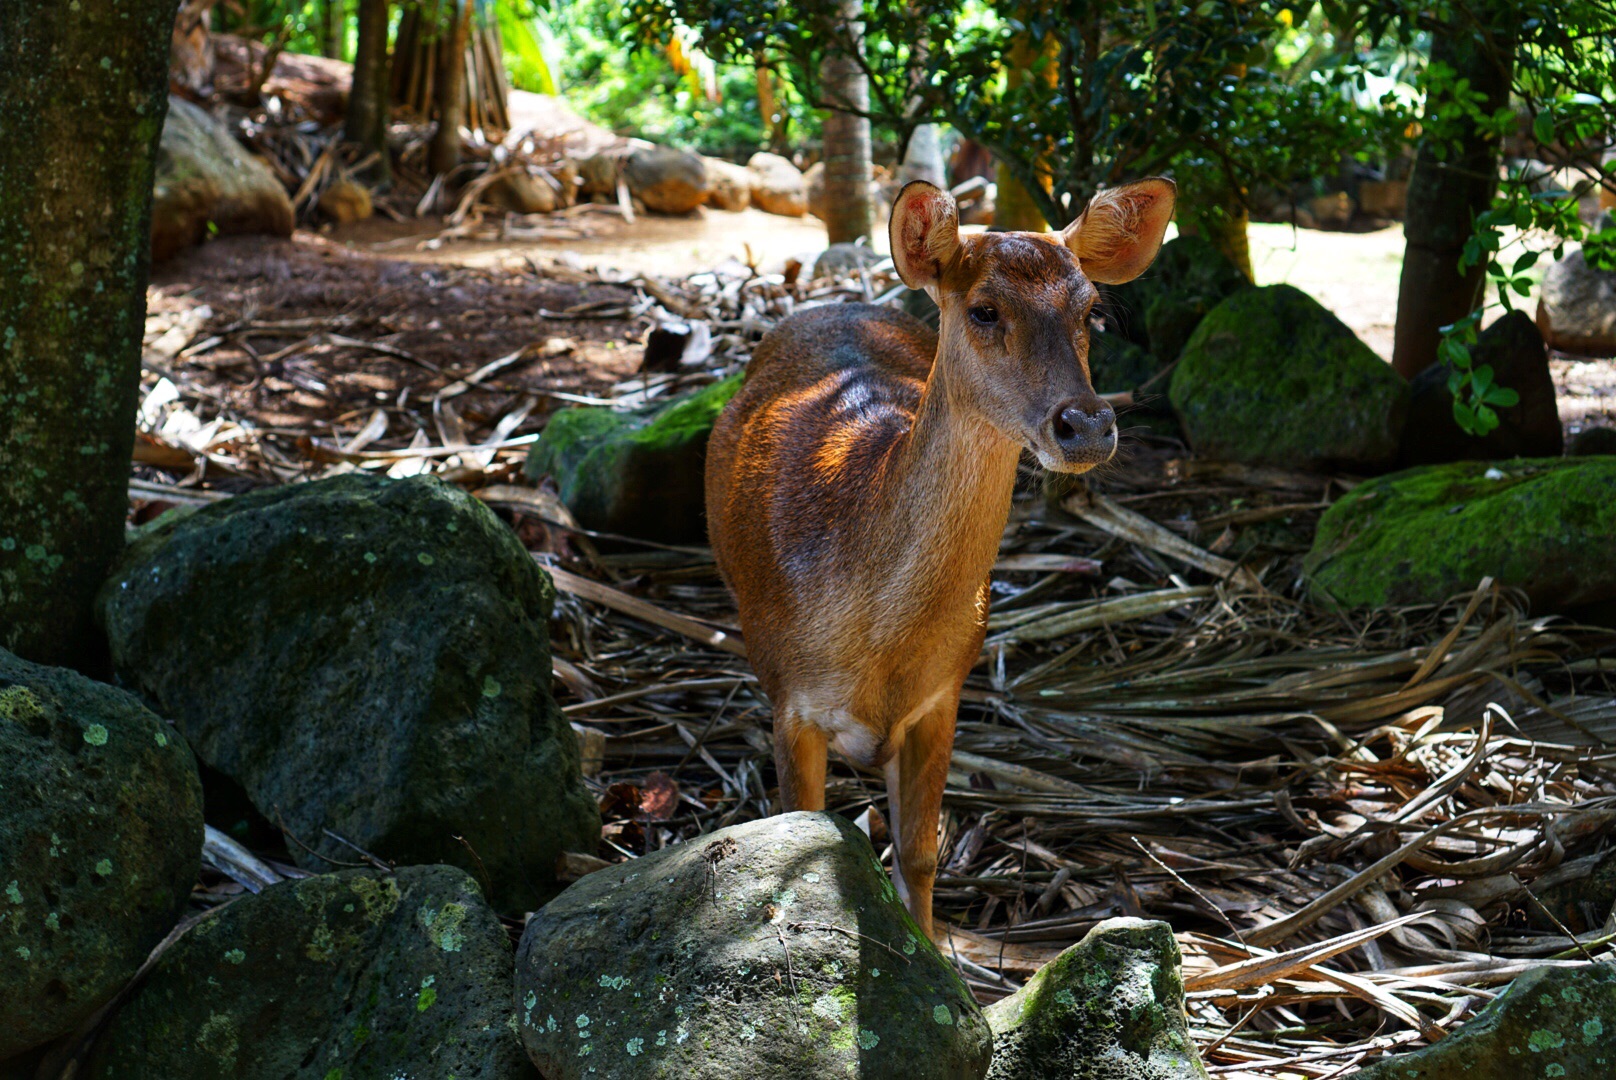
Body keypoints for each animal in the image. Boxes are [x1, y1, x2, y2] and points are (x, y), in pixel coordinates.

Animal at [704, 177, 1176, 937]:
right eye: (984, 309)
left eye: (1092, 311)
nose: (1086, 424)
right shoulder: (790, 698)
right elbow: (796, 826)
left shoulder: (945, 691)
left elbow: (920, 855)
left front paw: (935, 958)